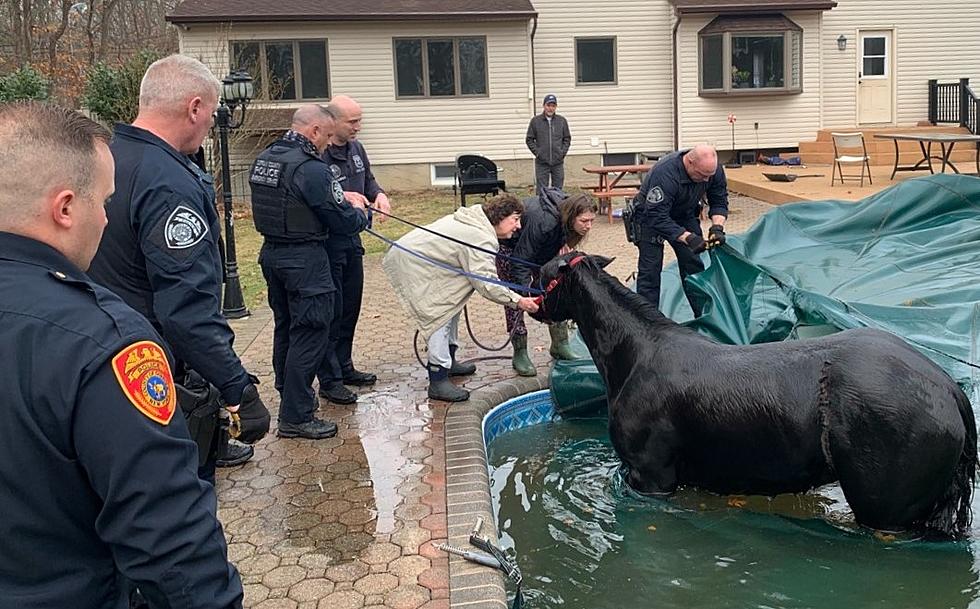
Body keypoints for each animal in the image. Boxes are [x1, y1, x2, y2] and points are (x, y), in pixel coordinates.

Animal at [536, 252, 980, 536]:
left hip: (884, 512)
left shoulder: (651, 477)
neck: (638, 354)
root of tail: (948, 387)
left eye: (544, 276)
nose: (532, 301)